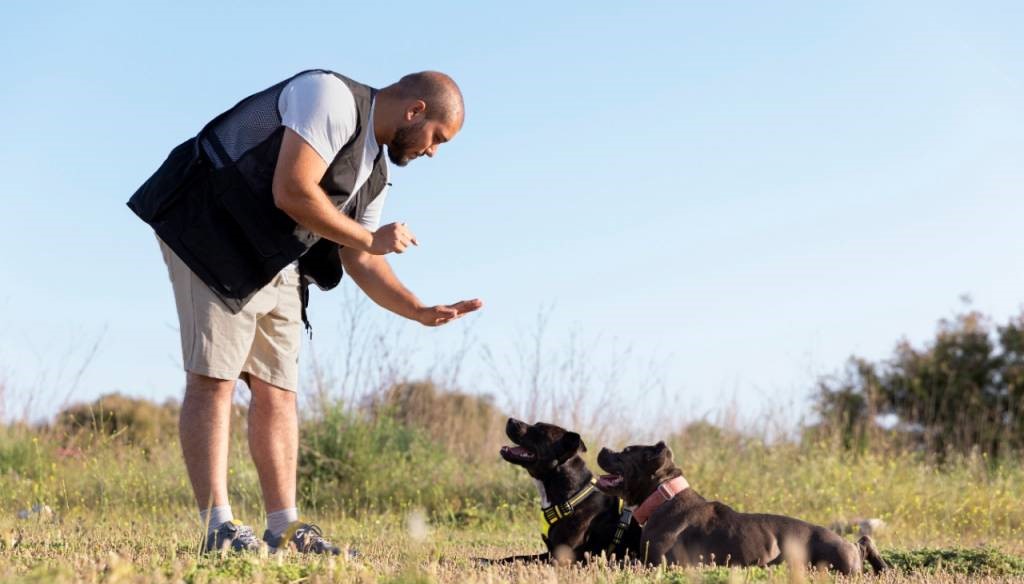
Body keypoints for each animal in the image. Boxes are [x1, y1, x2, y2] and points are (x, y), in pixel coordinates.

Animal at [475, 415, 634, 561]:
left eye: (540, 431)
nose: (510, 419)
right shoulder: (550, 551)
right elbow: (517, 557)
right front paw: (483, 560)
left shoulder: (561, 557)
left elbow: (524, 560)